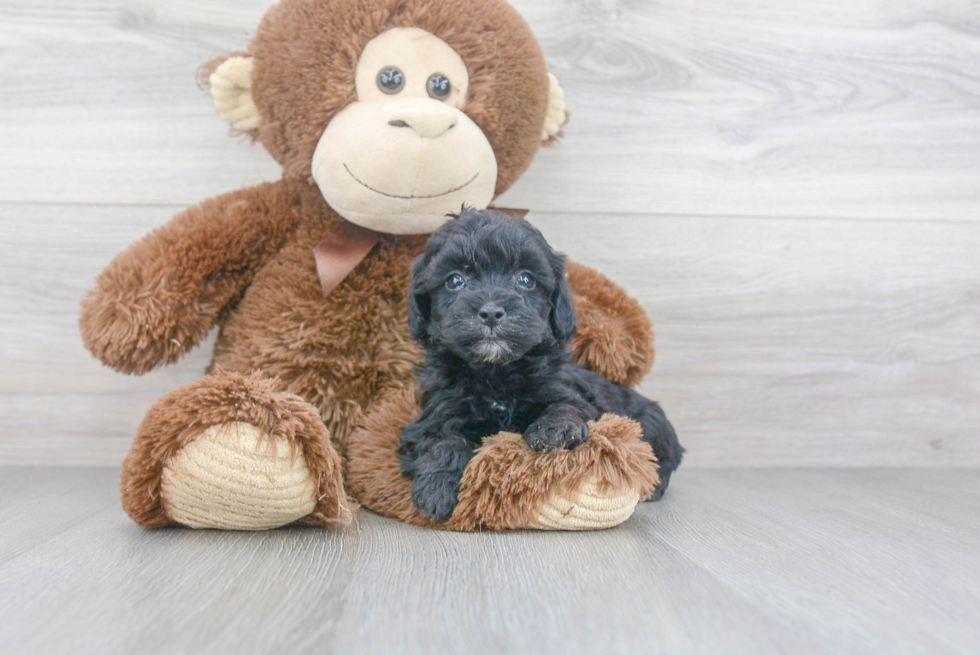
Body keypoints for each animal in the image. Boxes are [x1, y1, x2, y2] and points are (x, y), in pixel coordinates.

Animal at [398, 210, 680, 524]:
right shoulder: (435, 412)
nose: (491, 312)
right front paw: (436, 488)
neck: (497, 372)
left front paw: (553, 430)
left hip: (652, 424)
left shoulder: (566, 390)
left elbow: (567, 405)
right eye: (455, 280)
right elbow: (442, 438)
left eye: (525, 279)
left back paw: (653, 487)